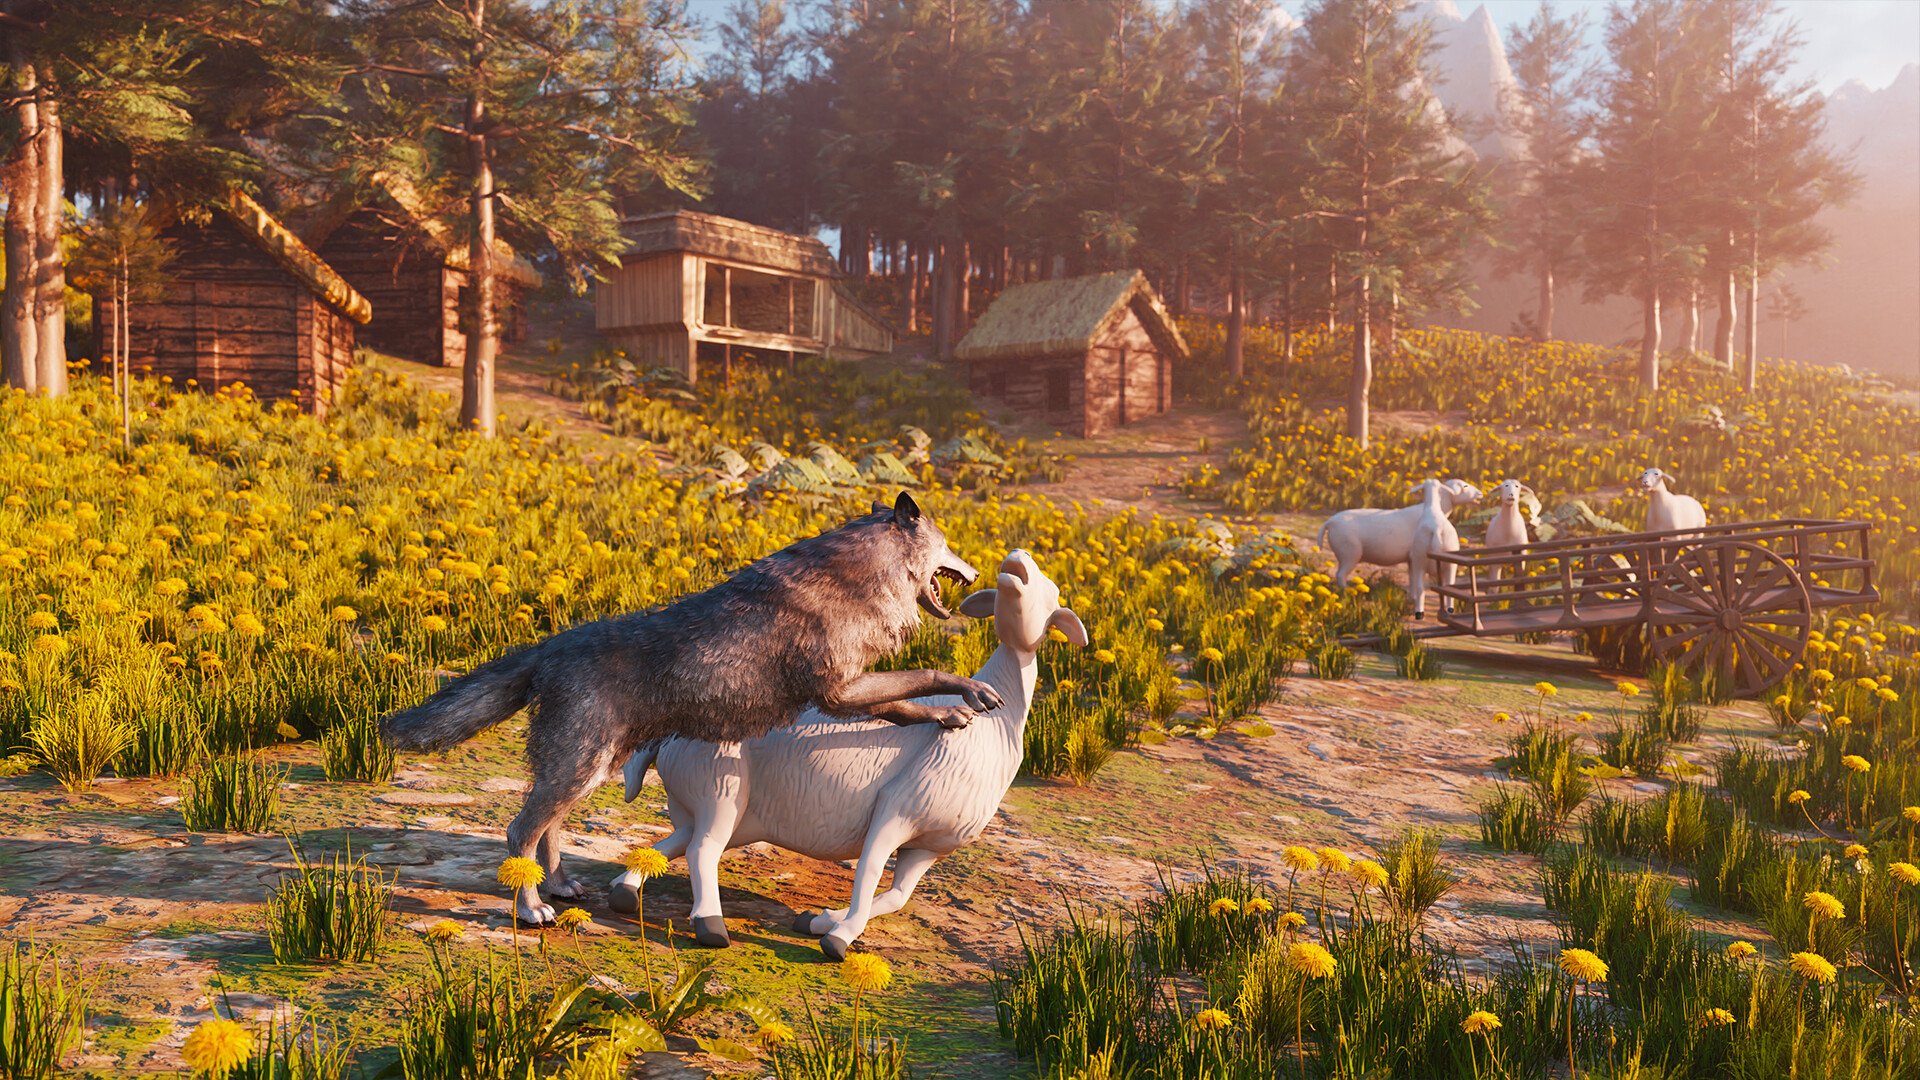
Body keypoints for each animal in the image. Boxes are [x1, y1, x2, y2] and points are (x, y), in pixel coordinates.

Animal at [380, 491, 1002, 924]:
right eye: (950, 545)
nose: (978, 571)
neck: (862, 575)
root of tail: (552, 644)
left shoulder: (845, 693)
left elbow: (908, 704)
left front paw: (951, 713)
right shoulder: (840, 692)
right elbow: (924, 678)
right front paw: (967, 697)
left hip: (589, 773)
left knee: (546, 827)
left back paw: (558, 885)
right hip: (580, 770)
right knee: (518, 832)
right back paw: (534, 909)